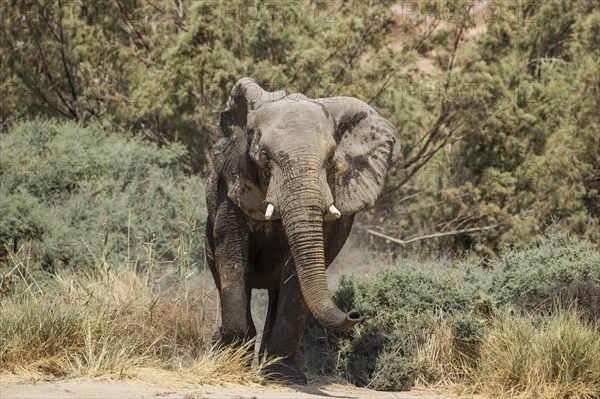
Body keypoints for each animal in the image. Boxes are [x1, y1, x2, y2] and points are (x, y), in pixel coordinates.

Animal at [204, 77, 400, 384]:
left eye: (331, 159)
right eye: (264, 158)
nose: (356, 314)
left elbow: (297, 274)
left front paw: (283, 378)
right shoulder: (232, 188)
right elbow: (233, 255)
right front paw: (231, 363)